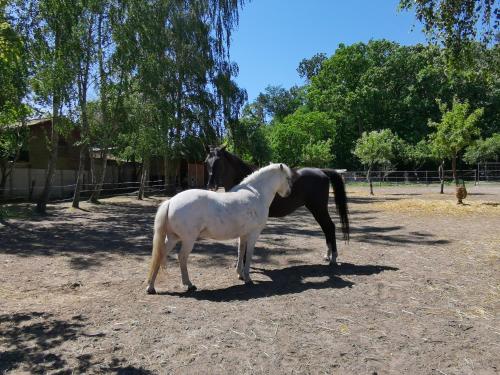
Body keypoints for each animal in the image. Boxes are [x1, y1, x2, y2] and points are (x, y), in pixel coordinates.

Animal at [145, 163, 292, 296]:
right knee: (182, 257)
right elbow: (249, 254)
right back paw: (189, 284)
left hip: (172, 238)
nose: (288, 193)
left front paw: (240, 275)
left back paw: (151, 287)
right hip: (188, 239)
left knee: (160, 255)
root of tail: (171, 201)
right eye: (287, 178)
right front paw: (248, 279)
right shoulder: (253, 234)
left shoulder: (243, 235)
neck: (257, 194)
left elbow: (241, 252)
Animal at [205, 145, 350, 266]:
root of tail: (322, 171)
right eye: (206, 162)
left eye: (219, 161)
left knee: (329, 227)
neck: (249, 185)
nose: (211, 185)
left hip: (318, 209)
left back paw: (333, 258)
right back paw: (327, 255)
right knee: (326, 228)